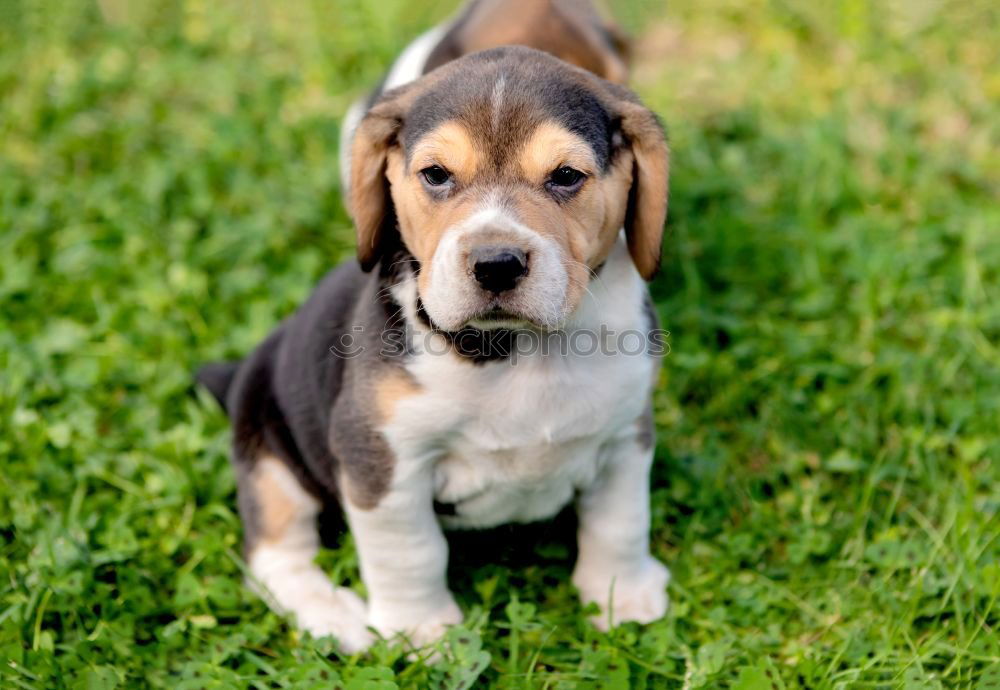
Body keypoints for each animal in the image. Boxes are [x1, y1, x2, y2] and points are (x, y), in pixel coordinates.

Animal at [197, 0, 672, 652]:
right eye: (437, 175)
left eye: (566, 176)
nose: (497, 264)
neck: (522, 351)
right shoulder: (380, 457)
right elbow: (411, 552)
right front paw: (423, 633)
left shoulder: (626, 432)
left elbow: (621, 522)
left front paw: (621, 596)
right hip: (268, 448)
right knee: (275, 556)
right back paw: (335, 615)